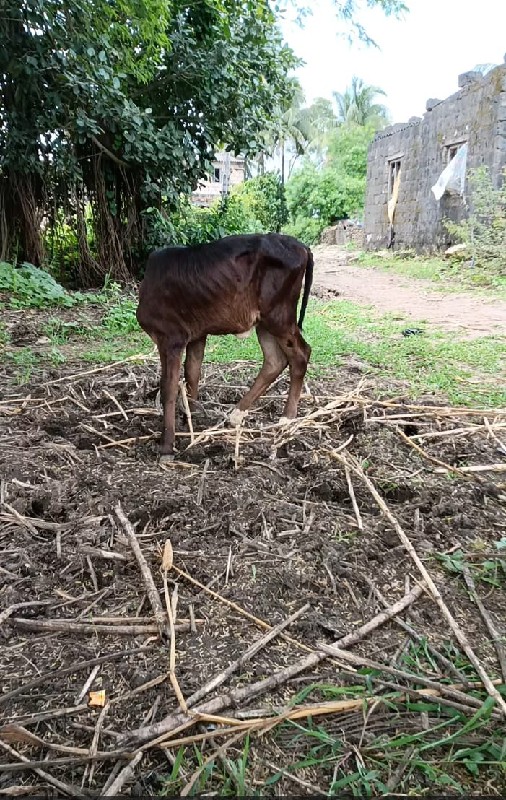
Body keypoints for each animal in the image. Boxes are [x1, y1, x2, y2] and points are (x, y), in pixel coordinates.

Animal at [136, 233, 314, 462]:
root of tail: (302, 246)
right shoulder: (197, 335)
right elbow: (192, 373)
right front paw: (189, 419)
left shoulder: (171, 338)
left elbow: (168, 388)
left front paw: (167, 446)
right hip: (264, 322)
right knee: (275, 360)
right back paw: (236, 415)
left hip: (279, 315)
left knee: (301, 354)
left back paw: (286, 421)